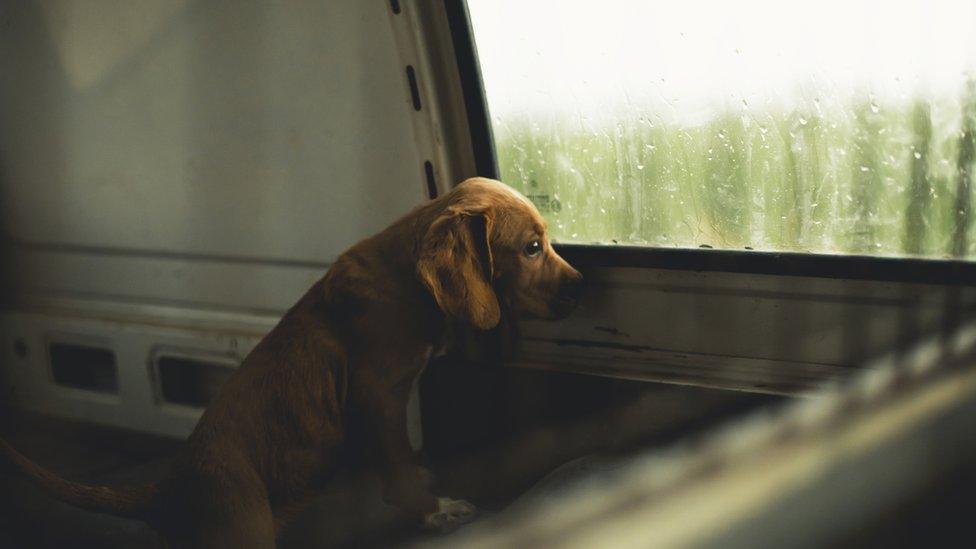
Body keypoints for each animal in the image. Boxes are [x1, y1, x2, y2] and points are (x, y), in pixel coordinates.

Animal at [0, 178, 584, 544]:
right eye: (533, 248)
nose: (585, 286)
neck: (406, 279)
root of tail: (166, 489)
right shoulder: (376, 393)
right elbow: (397, 462)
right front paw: (432, 510)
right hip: (246, 528)